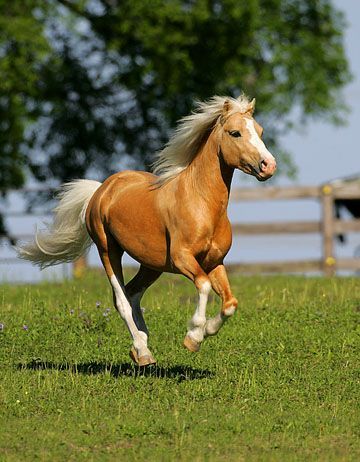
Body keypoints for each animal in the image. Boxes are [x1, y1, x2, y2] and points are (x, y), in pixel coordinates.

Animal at [19, 95, 276, 366]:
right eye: (235, 133)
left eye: (260, 131)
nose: (268, 165)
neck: (201, 203)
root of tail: (101, 189)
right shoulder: (183, 258)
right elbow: (204, 286)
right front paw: (193, 336)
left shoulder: (215, 262)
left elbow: (230, 303)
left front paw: (205, 332)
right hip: (108, 250)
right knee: (121, 299)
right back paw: (142, 351)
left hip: (152, 264)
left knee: (133, 293)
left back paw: (142, 346)